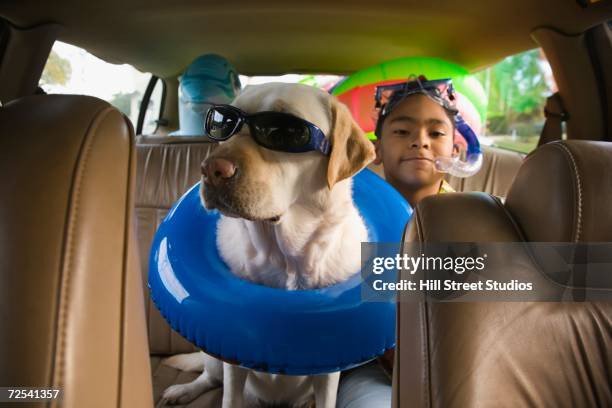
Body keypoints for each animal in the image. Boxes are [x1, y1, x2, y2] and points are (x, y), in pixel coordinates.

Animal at [160, 83, 376, 408]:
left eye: (284, 131)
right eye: (223, 123)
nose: (210, 169)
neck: (285, 255)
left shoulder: (330, 368)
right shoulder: (231, 356)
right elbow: (229, 397)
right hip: (213, 356)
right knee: (208, 377)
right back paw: (182, 390)